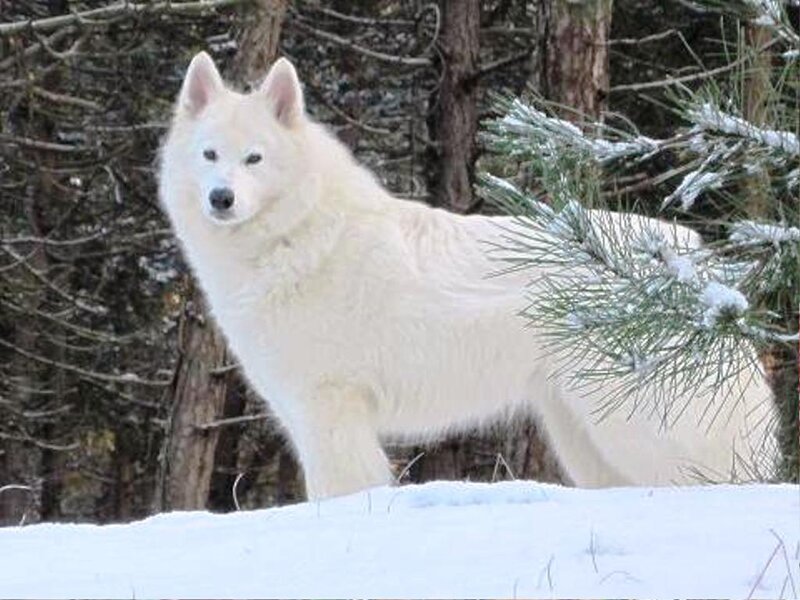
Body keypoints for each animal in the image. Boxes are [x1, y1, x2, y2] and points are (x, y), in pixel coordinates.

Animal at [159, 52, 777, 499]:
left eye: (254, 159)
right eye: (209, 155)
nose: (221, 199)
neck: (296, 237)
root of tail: (693, 259)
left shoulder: (331, 409)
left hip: (640, 427)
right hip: (583, 434)